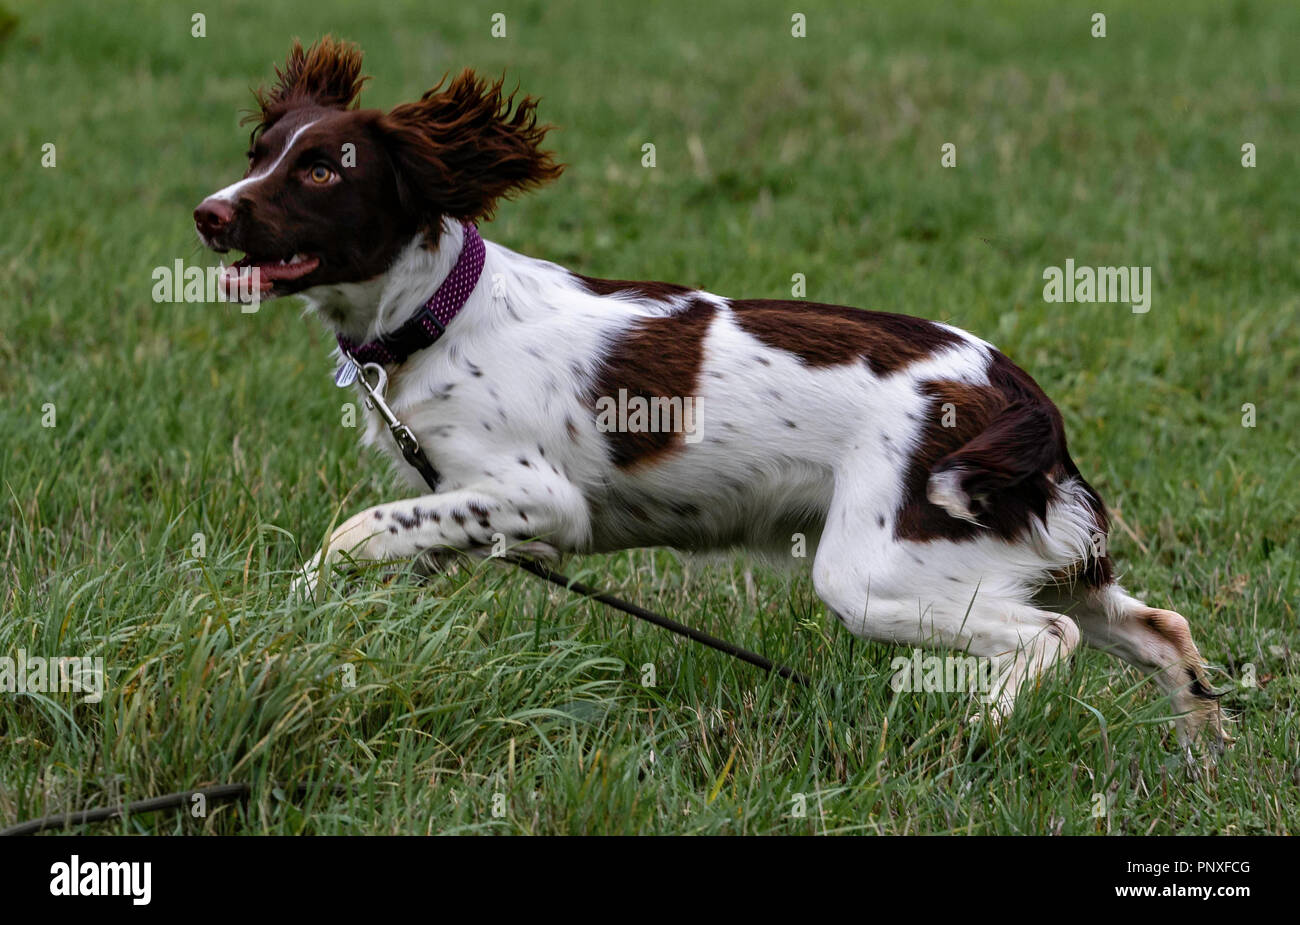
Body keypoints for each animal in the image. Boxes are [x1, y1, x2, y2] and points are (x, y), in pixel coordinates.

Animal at [195, 36, 1227, 748]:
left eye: (321, 168)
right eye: (258, 148)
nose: (208, 213)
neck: (436, 312)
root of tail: (1011, 389)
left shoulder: (539, 496)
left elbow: (354, 530)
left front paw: (292, 604)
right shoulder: (458, 498)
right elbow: (389, 545)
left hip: (878, 568)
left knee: (1044, 637)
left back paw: (976, 727)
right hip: (1026, 551)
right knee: (1159, 629)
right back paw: (1203, 757)